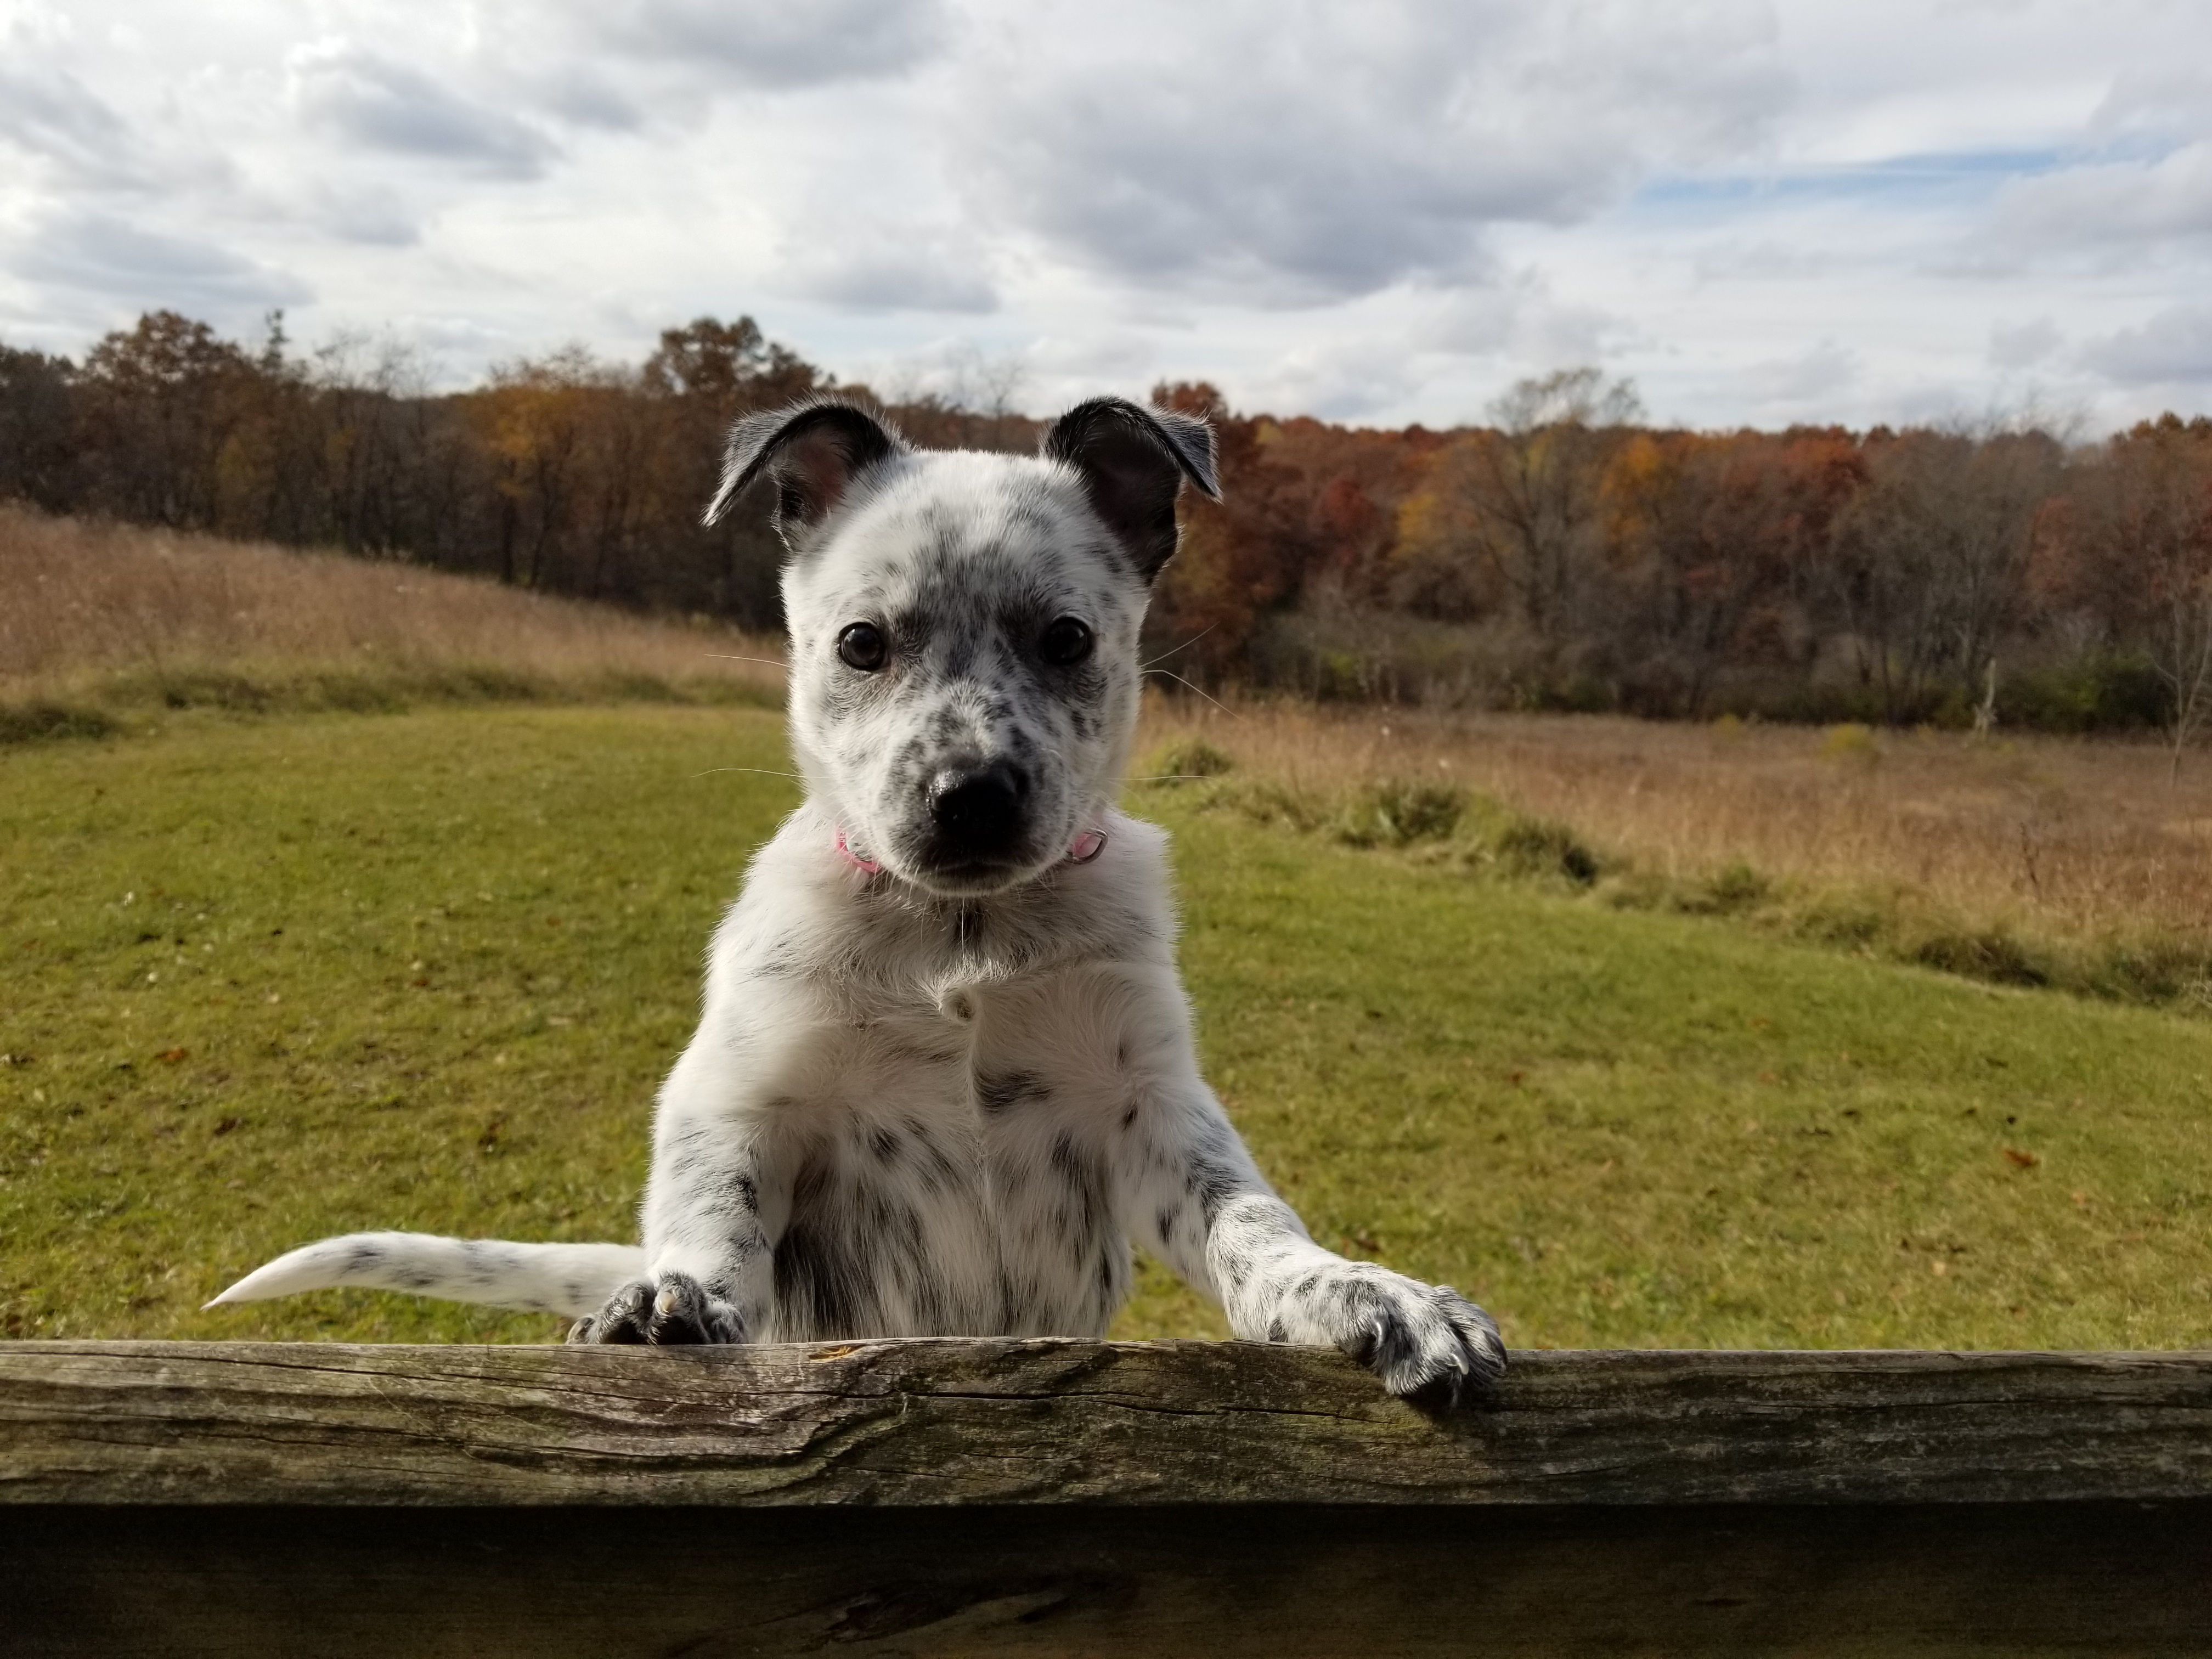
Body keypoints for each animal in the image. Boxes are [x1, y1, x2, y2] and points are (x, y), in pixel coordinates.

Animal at [211, 396, 1504, 1398]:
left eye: (1068, 638)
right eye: (862, 644)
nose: (970, 797)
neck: (959, 940)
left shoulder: (1151, 1111)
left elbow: (1253, 1226)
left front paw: (1366, 1292)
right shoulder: (742, 1095)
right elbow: (716, 1217)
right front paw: (673, 1300)